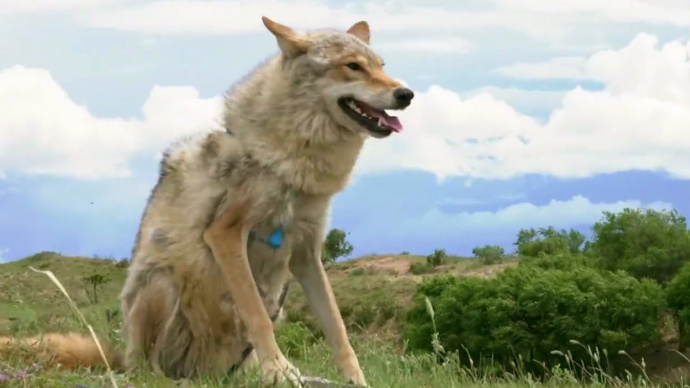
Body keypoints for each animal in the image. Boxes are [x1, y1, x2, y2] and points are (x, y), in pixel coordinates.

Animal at [0, 15, 412, 384]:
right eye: (353, 66)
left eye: (381, 66)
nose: (406, 94)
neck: (294, 168)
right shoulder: (225, 234)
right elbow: (256, 316)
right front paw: (280, 371)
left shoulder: (305, 252)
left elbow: (338, 330)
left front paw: (354, 380)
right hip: (163, 285)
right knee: (148, 371)